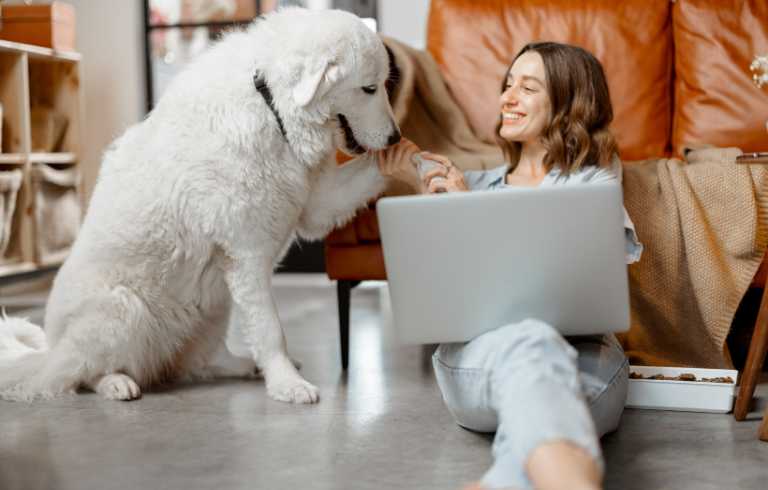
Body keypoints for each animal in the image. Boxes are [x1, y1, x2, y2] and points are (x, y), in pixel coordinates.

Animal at [0, 8, 396, 406]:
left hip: (212, 304)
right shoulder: (247, 256)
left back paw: (243, 366)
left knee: (201, 361)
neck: (270, 105)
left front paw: (405, 157)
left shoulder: (314, 205)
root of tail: (49, 350)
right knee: (81, 373)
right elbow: (270, 330)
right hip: (123, 308)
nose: (394, 136)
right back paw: (116, 383)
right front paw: (287, 385)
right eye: (369, 88)